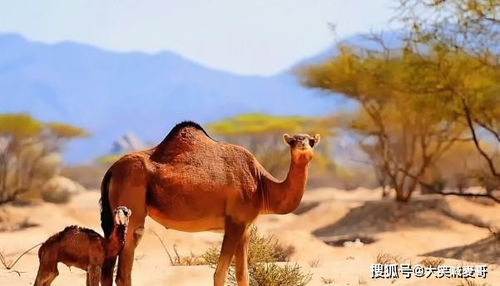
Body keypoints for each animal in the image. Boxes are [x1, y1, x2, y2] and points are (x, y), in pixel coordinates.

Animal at [100, 121, 320, 286]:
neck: (262, 184)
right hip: (132, 211)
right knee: (123, 270)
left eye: (311, 141)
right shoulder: (235, 222)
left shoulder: (246, 228)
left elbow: (243, 276)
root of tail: (111, 170)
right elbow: (220, 274)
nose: (302, 145)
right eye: (292, 141)